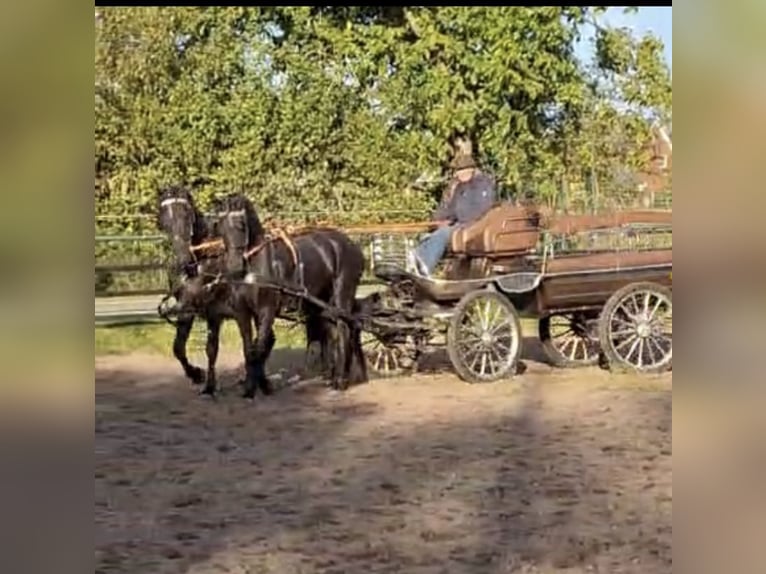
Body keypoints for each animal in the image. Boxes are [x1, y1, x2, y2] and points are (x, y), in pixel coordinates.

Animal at [216, 194, 368, 396]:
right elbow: (250, 349)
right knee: (333, 332)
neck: (256, 265)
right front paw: (256, 385)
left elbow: (261, 346)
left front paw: (256, 387)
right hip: (323, 304)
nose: (234, 265)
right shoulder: (244, 312)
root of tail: (352, 246)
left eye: (241, 223)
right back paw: (333, 376)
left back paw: (340, 381)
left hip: (341, 295)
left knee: (344, 330)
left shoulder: (267, 311)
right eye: (219, 225)